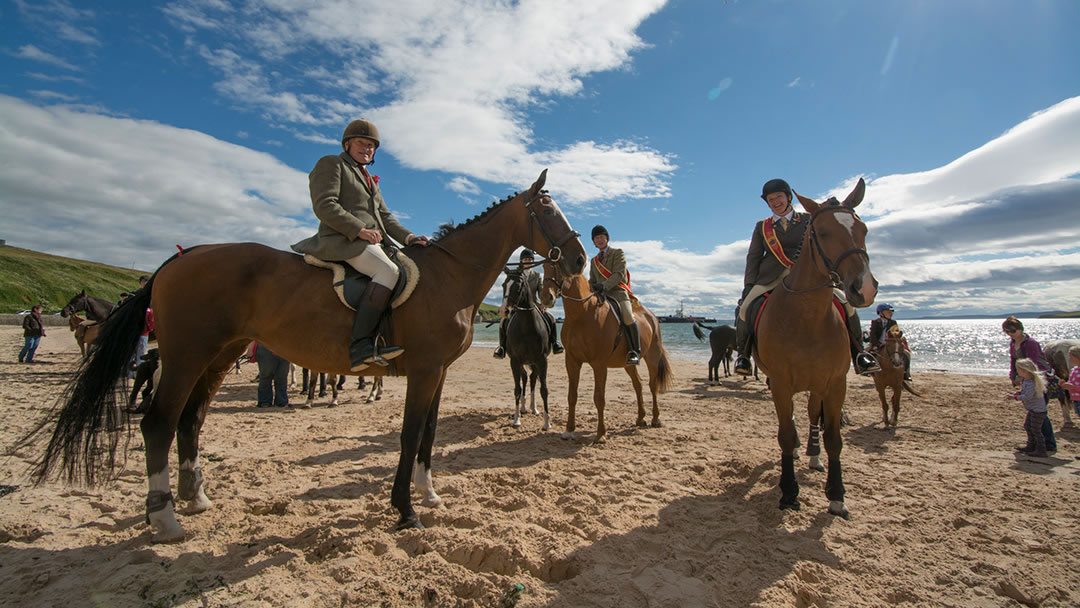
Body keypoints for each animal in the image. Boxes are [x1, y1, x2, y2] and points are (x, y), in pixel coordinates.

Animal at [496, 268, 548, 429]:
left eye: (518, 287)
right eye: (503, 285)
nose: (504, 311)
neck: (527, 326)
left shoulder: (542, 360)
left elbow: (544, 389)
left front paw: (547, 423)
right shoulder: (515, 360)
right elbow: (517, 389)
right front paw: (516, 419)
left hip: (534, 363)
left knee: (532, 379)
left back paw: (534, 408)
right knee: (524, 378)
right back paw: (524, 408)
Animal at [544, 271, 669, 442]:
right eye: (544, 267)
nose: (546, 297)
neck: (582, 313)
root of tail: (652, 316)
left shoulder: (599, 364)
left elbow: (599, 398)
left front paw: (601, 434)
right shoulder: (572, 361)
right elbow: (572, 396)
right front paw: (569, 430)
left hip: (653, 356)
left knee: (653, 385)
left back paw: (656, 419)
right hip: (627, 363)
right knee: (638, 384)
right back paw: (640, 418)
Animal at [751, 178, 876, 520]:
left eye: (864, 229)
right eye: (821, 232)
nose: (864, 288)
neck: (806, 316)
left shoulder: (835, 384)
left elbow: (834, 439)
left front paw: (836, 496)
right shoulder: (781, 383)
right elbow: (784, 434)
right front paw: (788, 491)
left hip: (819, 385)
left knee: (812, 415)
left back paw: (812, 454)